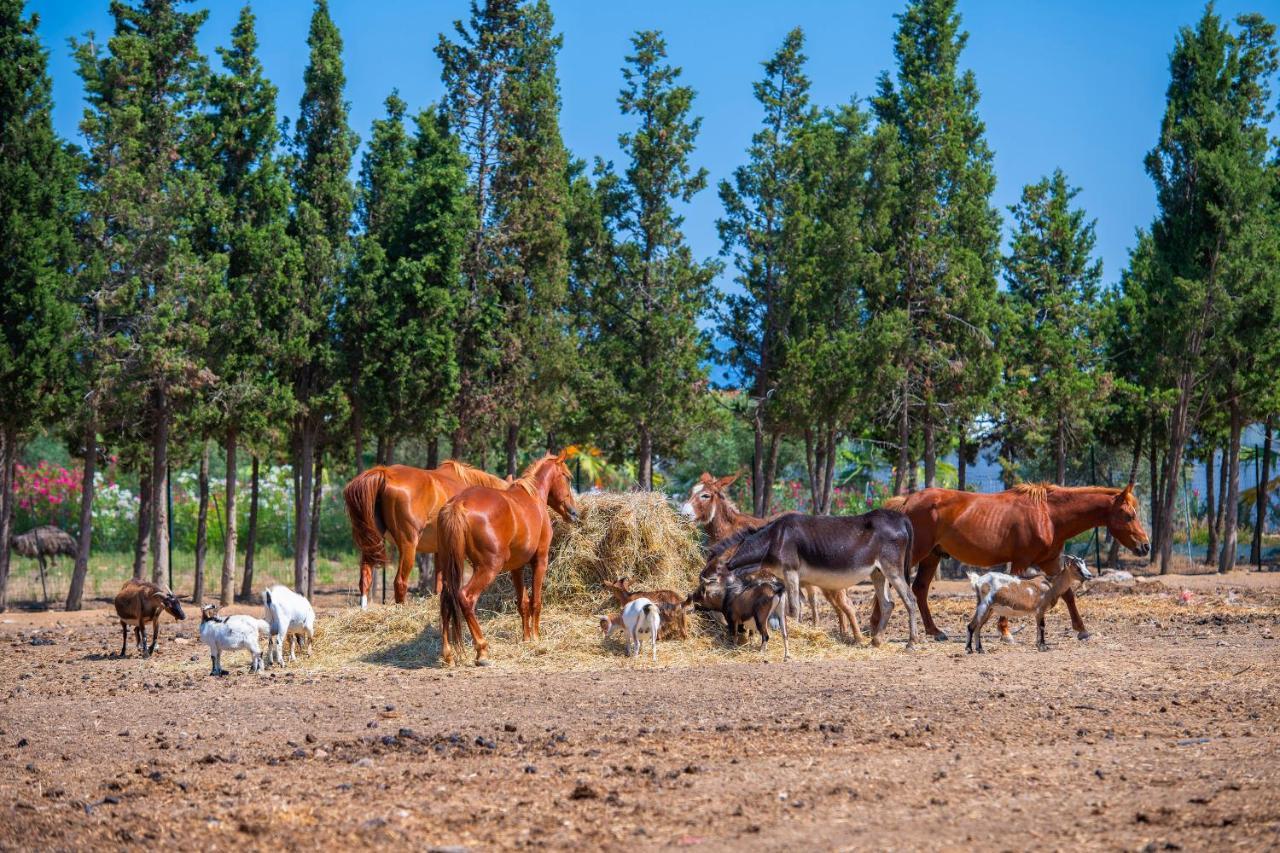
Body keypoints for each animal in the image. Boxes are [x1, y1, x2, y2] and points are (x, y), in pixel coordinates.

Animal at [343, 458, 506, 604]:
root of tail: (386, 473)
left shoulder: (440, 550)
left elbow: (440, 582)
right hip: (408, 545)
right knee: (400, 582)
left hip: (371, 543)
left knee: (365, 578)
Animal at [440, 450, 581, 666]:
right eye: (567, 477)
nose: (574, 512)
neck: (533, 497)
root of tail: (459, 503)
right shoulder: (540, 561)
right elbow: (536, 602)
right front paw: (536, 638)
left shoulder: (517, 567)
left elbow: (522, 603)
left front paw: (526, 638)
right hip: (488, 569)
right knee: (466, 598)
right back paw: (482, 650)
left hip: (450, 568)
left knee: (446, 599)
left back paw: (447, 654)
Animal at [880, 481, 1152, 640]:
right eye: (1128, 515)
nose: (1145, 546)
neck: (1048, 515)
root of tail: (907, 501)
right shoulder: (1021, 561)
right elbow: (1012, 589)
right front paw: (1005, 631)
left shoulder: (1051, 562)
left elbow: (1067, 594)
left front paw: (1082, 630)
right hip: (917, 554)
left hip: (932, 557)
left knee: (919, 589)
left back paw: (934, 631)